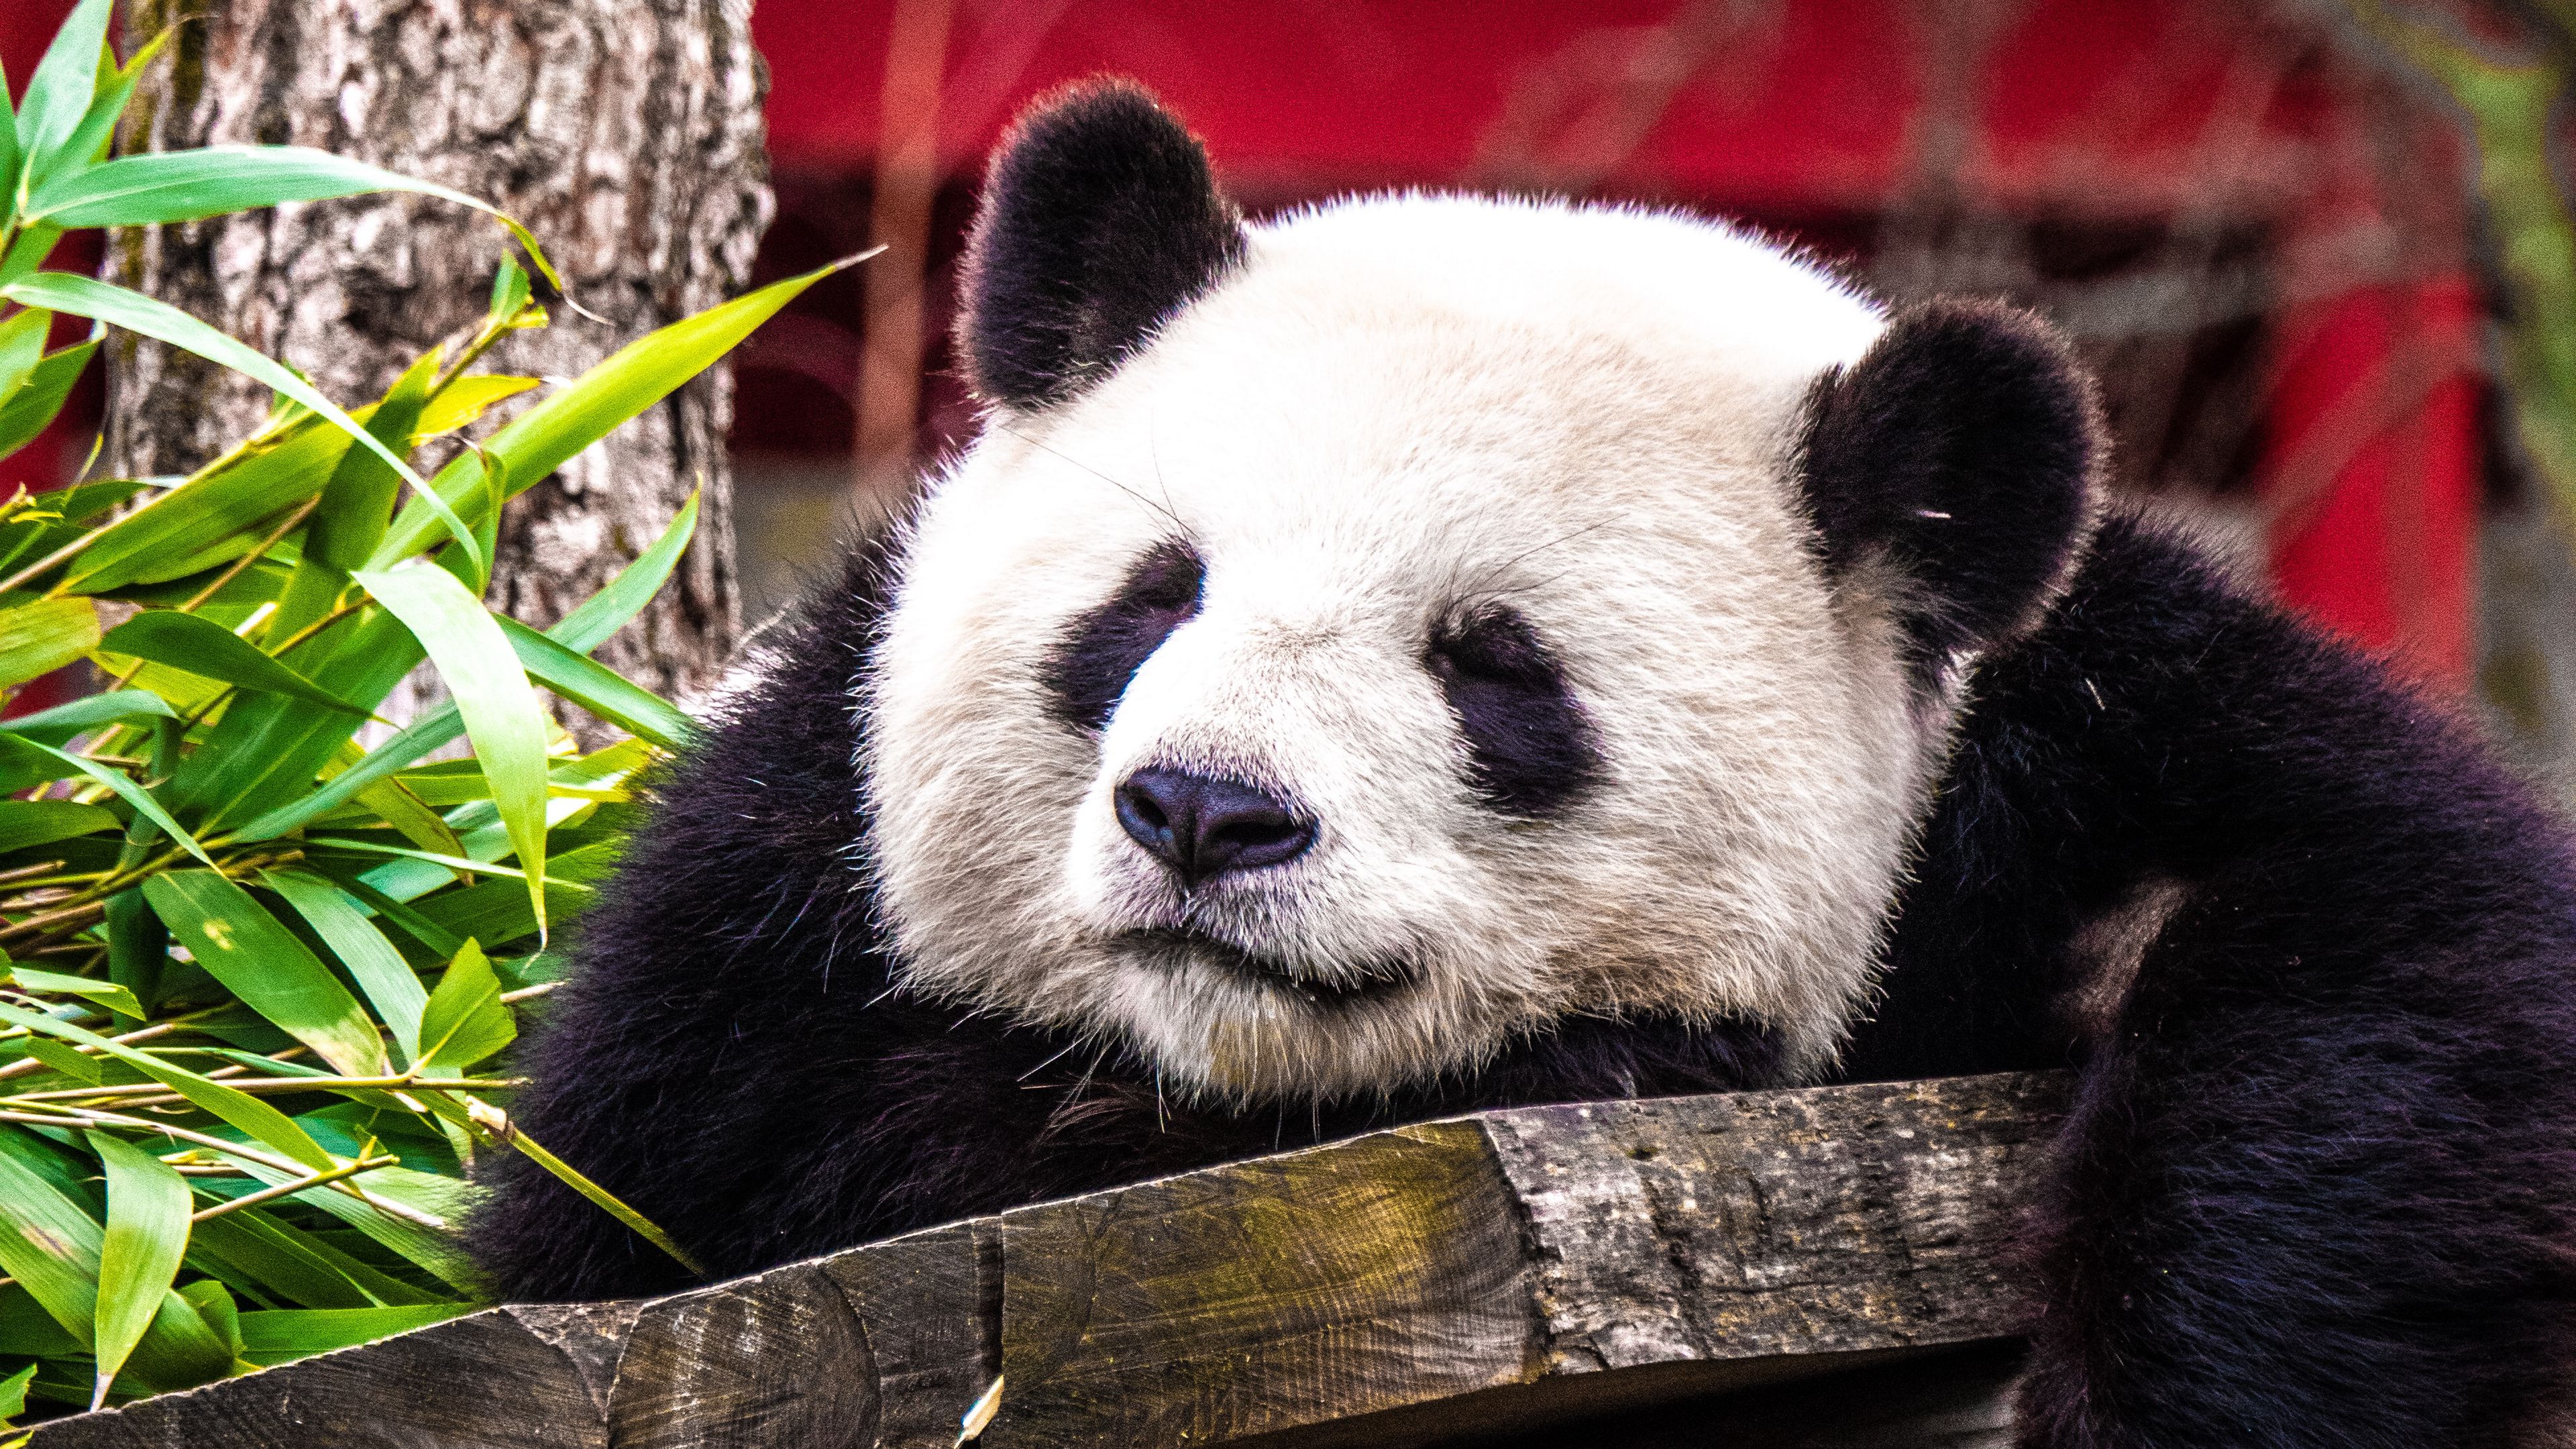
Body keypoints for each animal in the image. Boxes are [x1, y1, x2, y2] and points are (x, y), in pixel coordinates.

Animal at [470, 83, 2576, 1446]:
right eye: (1152, 599)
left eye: (1494, 670)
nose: (1205, 814)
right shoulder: (767, 889)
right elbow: (687, 1184)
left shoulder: (2063, 730)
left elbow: (2378, 937)